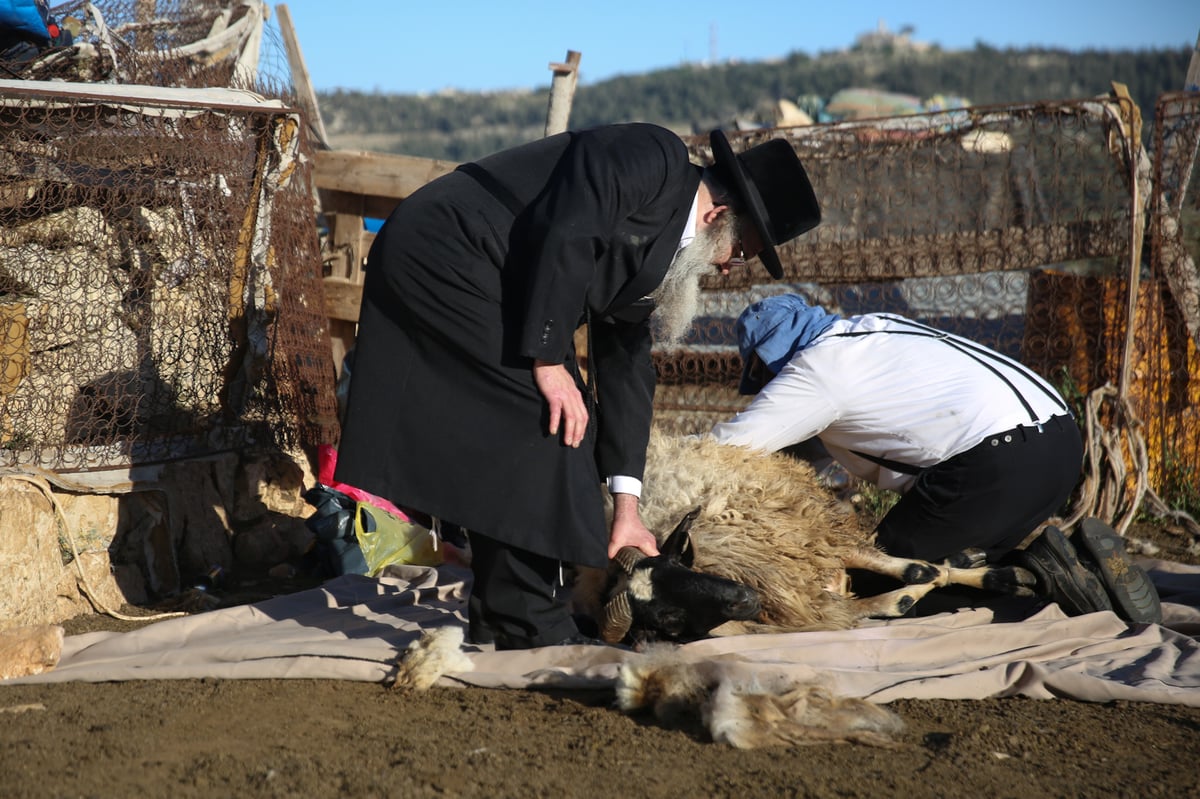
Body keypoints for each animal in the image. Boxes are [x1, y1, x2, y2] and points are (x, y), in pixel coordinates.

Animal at [585, 429, 1036, 643]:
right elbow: (885, 603)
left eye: (682, 567)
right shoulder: (808, 599)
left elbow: (905, 568)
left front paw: (987, 575)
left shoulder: (804, 535)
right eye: (669, 620)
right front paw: (907, 597)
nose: (744, 598)